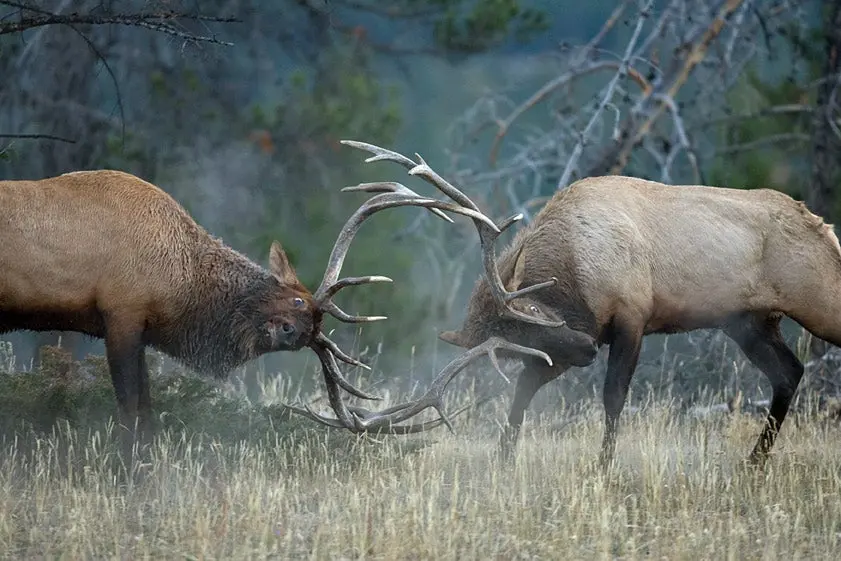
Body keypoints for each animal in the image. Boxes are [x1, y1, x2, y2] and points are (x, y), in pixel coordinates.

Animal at [326, 139, 840, 468]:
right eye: (514, 342)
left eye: (530, 314)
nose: (588, 351)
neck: (575, 269)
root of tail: (826, 228)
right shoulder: (570, 345)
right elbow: (521, 394)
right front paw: (503, 460)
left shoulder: (632, 313)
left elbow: (613, 395)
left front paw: (603, 467)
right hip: (750, 322)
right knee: (788, 372)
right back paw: (753, 462)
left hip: (816, 302)